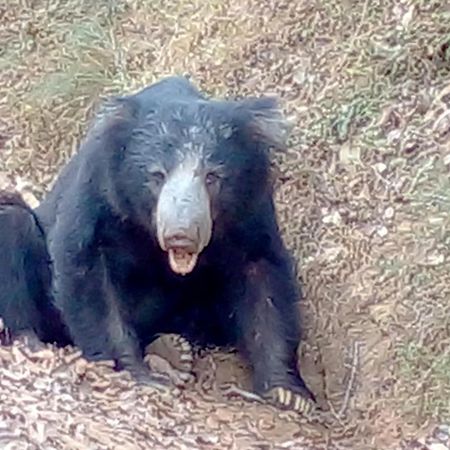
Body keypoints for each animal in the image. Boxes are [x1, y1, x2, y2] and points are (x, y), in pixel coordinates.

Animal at [0, 75, 314, 414]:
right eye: (157, 176)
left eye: (212, 177)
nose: (181, 234)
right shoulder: (98, 190)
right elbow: (86, 267)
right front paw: (136, 373)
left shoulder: (252, 207)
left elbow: (263, 276)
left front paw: (289, 394)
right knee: (13, 223)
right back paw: (29, 341)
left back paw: (172, 349)